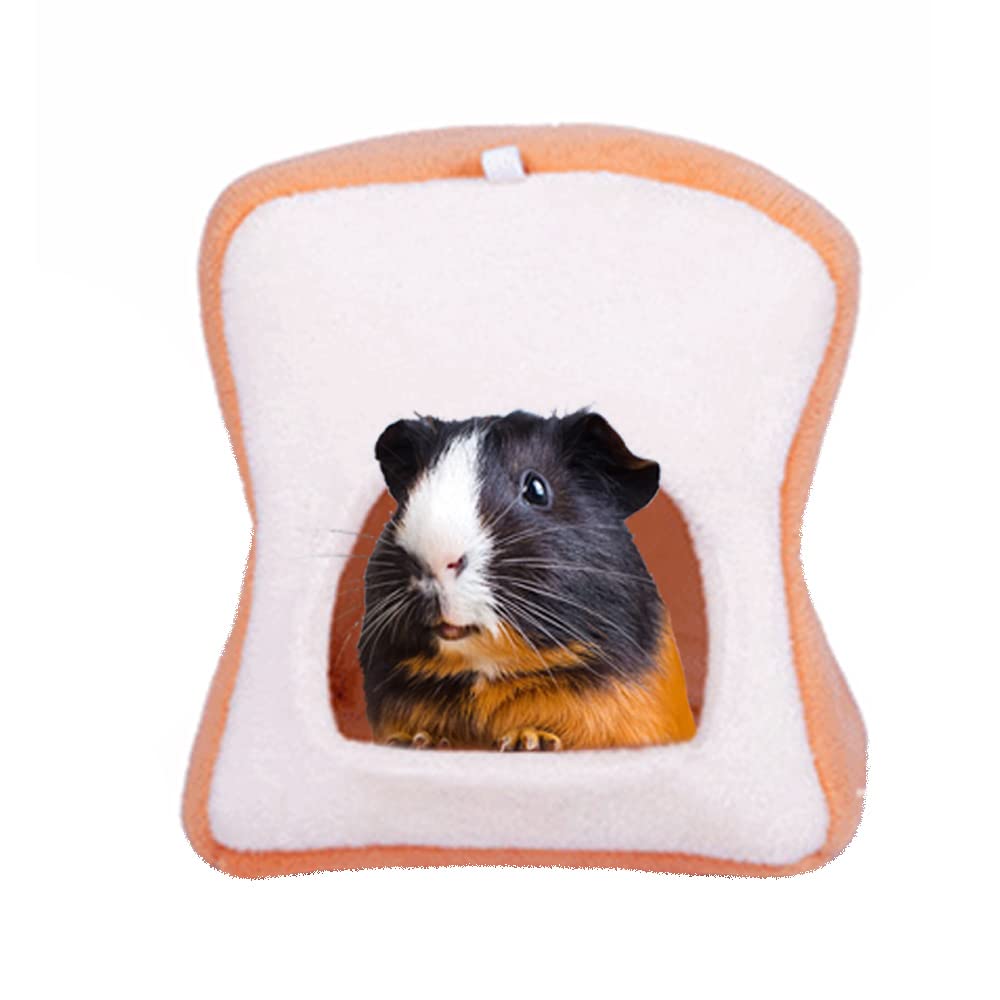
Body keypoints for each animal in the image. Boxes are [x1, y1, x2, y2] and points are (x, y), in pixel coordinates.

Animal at [358, 409, 696, 751]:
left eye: (536, 489)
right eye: (408, 496)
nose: (436, 560)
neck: (485, 673)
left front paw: (528, 740)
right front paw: (416, 740)